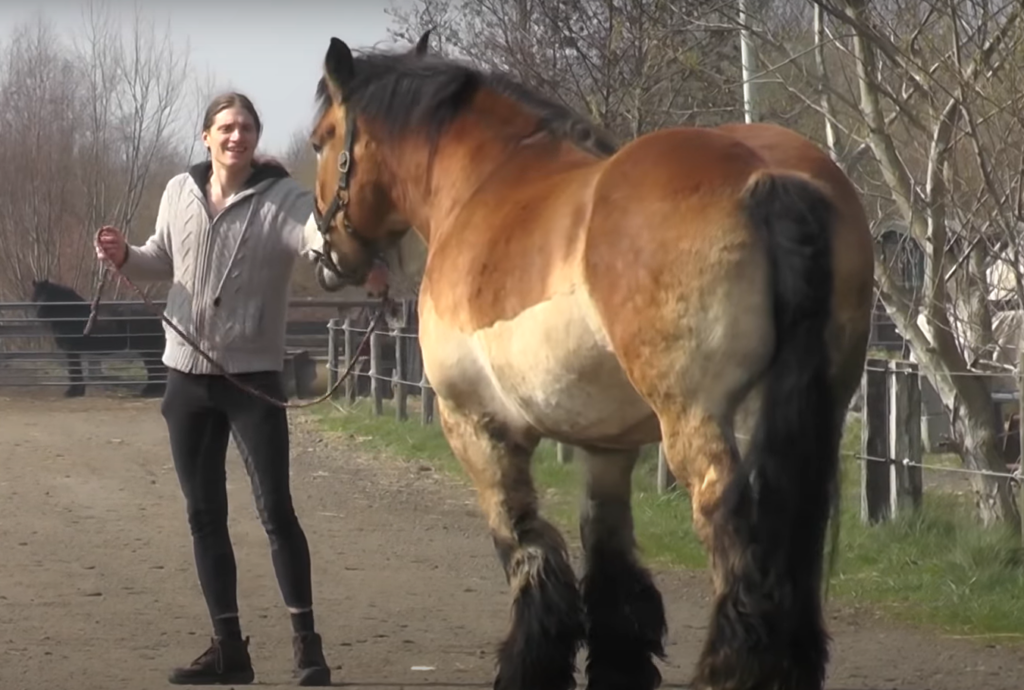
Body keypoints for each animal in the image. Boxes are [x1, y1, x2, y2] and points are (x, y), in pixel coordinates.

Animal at [29, 279, 167, 398]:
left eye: (47, 295)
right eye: (35, 295)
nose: (39, 313)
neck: (71, 314)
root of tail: (157, 315)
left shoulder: (71, 350)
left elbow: (74, 370)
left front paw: (73, 392)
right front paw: (78, 391)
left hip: (149, 349)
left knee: (157, 368)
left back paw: (153, 391)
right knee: (155, 369)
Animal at [303, 33, 875, 690]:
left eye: (320, 139)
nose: (320, 251)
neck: (482, 185)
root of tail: (768, 176)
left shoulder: (474, 425)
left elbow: (524, 542)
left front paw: (529, 663)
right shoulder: (607, 445)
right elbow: (608, 559)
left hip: (695, 419)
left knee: (732, 525)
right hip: (803, 411)